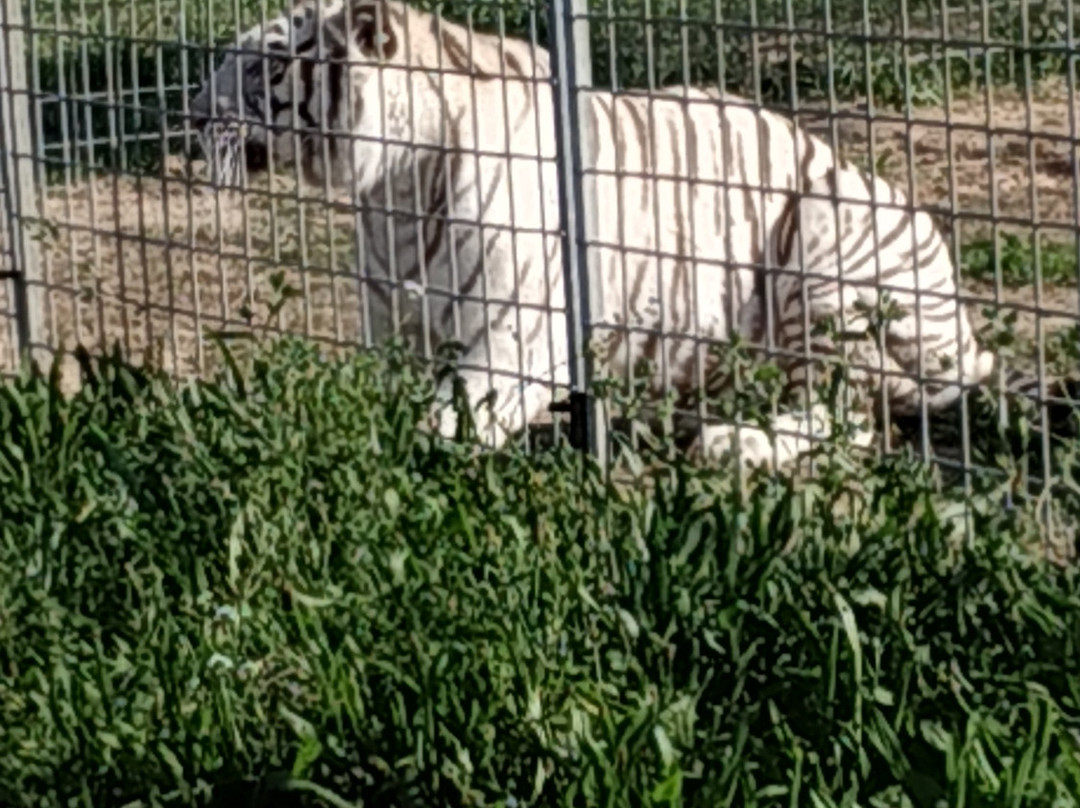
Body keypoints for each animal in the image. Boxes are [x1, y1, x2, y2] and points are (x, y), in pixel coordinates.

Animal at [187, 0, 1071, 466]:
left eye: (264, 65)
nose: (192, 113)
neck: (393, 190)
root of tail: (966, 333)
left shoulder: (522, 330)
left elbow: (451, 412)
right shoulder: (395, 329)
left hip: (825, 235)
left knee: (848, 413)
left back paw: (730, 442)